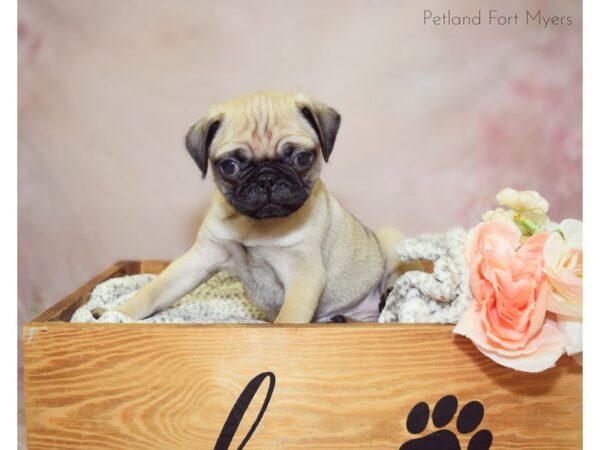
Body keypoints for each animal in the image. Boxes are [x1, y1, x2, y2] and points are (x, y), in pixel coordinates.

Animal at [95, 92, 404, 324]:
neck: (256, 225)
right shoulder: (201, 258)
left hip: (389, 239)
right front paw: (116, 313)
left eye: (302, 158)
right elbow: (153, 291)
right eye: (230, 166)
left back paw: (382, 300)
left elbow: (288, 321)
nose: (267, 178)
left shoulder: (303, 272)